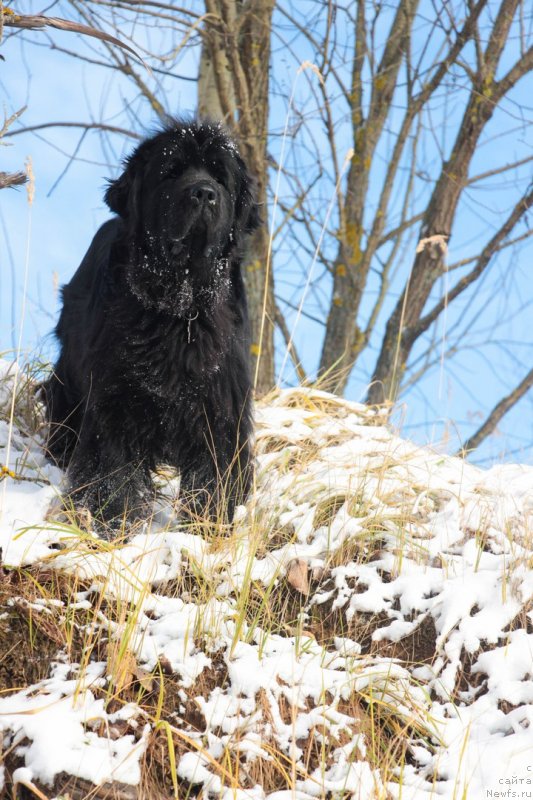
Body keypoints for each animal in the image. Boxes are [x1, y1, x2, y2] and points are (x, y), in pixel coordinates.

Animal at [43, 119, 260, 524]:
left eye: (220, 176)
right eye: (171, 171)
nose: (203, 193)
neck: (179, 307)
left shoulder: (221, 409)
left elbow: (215, 476)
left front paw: (209, 524)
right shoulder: (116, 400)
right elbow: (113, 470)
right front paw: (112, 521)